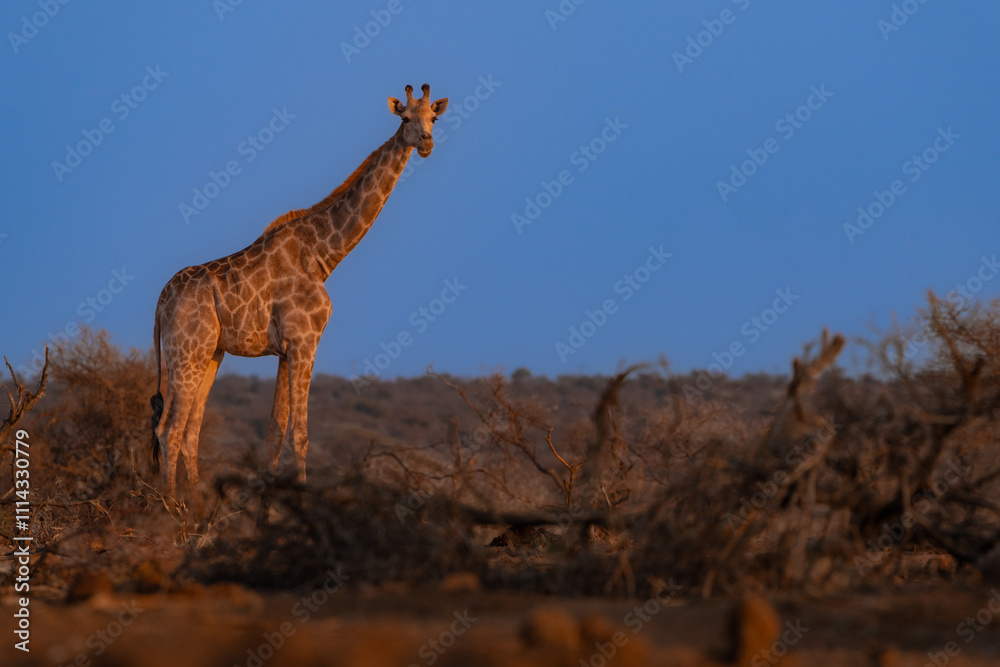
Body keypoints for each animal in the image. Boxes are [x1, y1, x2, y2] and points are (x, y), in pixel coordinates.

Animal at [149, 83, 448, 506]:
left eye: (433, 118)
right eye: (405, 117)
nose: (426, 143)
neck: (324, 254)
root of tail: (161, 301)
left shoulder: (284, 351)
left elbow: (274, 435)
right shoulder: (305, 341)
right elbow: (300, 435)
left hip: (210, 353)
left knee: (190, 429)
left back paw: (195, 507)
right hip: (186, 351)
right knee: (169, 429)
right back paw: (172, 509)